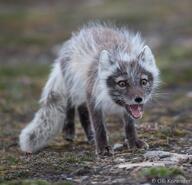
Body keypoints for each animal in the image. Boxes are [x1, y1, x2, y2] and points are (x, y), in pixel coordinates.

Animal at [18, 23, 160, 156]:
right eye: (122, 83)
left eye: (143, 82)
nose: (139, 99)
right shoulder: (93, 97)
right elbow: (99, 126)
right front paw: (103, 147)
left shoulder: (127, 108)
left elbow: (129, 124)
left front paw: (133, 142)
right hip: (73, 84)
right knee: (70, 104)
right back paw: (69, 130)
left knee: (81, 110)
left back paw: (90, 136)